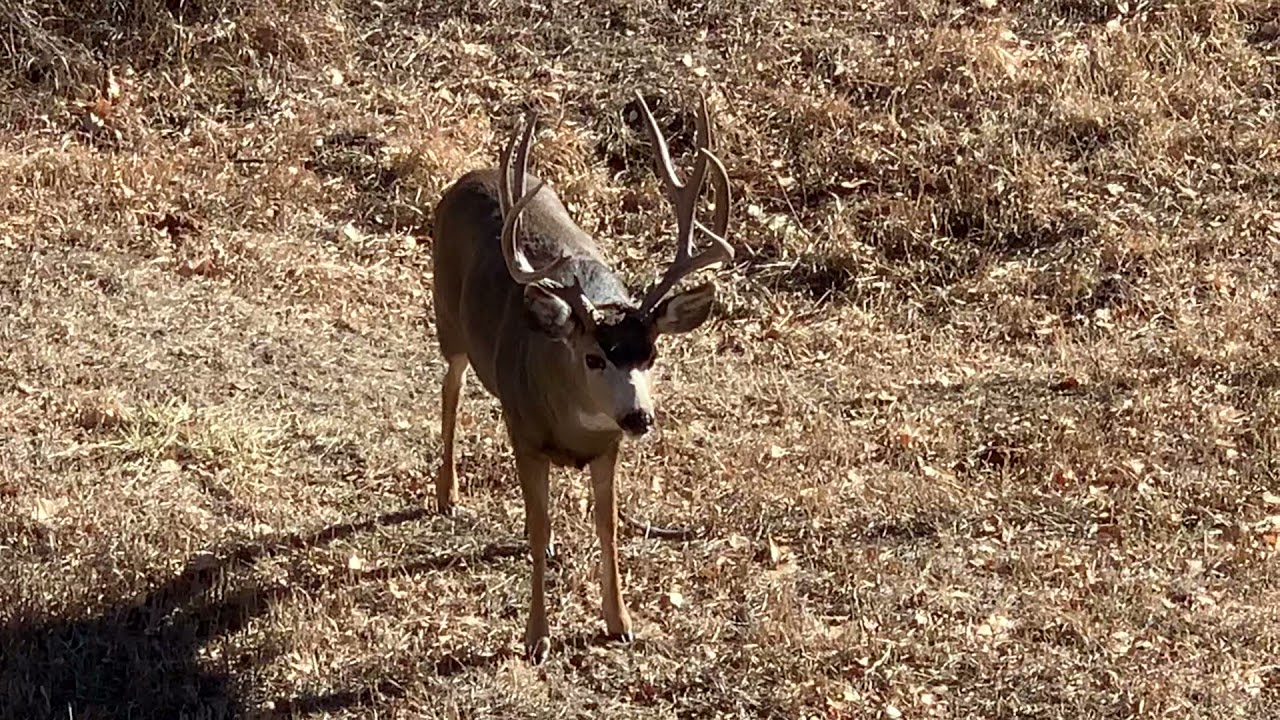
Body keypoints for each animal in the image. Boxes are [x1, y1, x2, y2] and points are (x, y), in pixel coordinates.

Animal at [429, 91, 733, 664]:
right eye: (594, 358)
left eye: (652, 355)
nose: (640, 417)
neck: (571, 423)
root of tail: (469, 176)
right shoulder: (524, 434)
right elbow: (537, 524)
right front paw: (536, 636)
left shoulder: (607, 449)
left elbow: (606, 526)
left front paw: (620, 622)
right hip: (448, 321)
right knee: (450, 389)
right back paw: (447, 494)